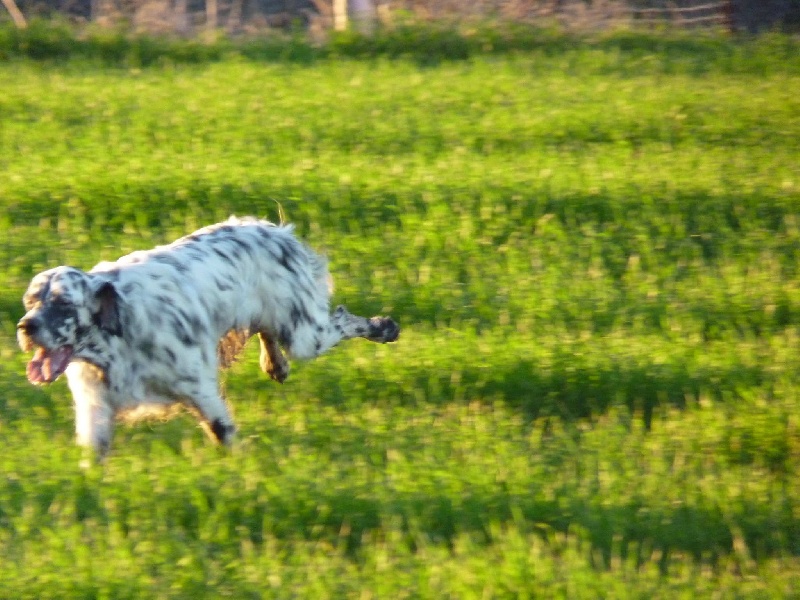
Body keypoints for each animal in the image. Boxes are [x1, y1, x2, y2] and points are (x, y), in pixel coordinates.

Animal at [15, 218, 396, 462]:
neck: (116, 340)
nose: (25, 327)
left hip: (305, 335)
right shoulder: (95, 408)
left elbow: (222, 432)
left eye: (63, 303)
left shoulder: (199, 388)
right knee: (267, 330)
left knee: (342, 319)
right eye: (31, 301)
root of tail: (274, 229)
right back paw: (275, 364)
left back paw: (384, 327)